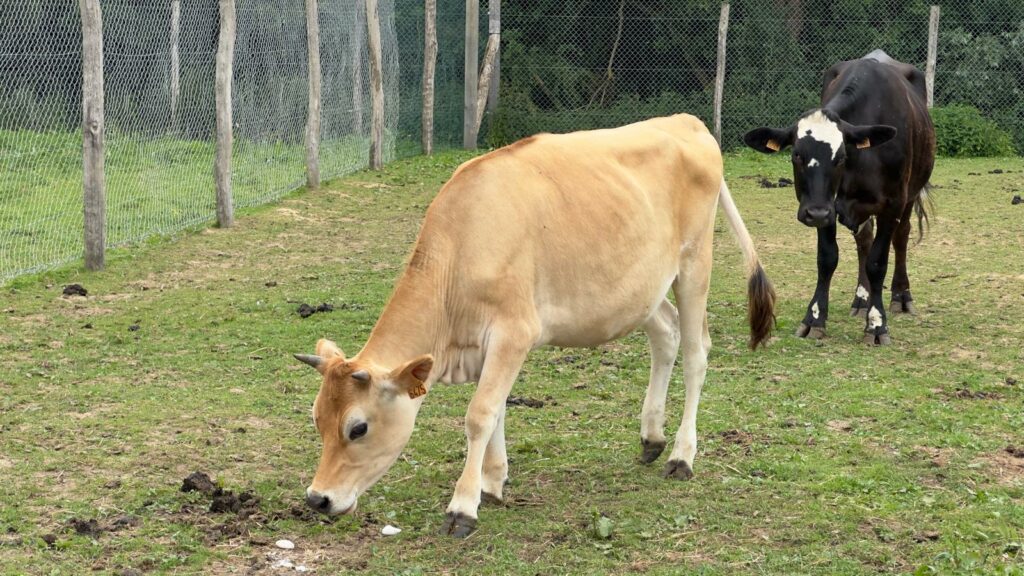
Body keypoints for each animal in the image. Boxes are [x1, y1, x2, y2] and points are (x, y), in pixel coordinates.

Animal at [293, 114, 775, 537]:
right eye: (317, 418)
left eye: (358, 427)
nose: (318, 499)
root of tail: (687, 121)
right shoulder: (488, 346)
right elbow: (497, 409)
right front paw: (493, 481)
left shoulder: (513, 332)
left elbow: (480, 414)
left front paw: (463, 506)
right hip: (638, 290)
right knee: (666, 336)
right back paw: (651, 437)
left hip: (695, 265)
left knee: (696, 353)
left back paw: (681, 455)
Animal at [742, 49, 935, 345]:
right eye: (796, 154)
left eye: (841, 156)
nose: (815, 213)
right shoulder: (828, 206)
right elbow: (827, 258)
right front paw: (814, 318)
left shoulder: (892, 203)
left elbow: (878, 262)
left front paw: (876, 325)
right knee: (864, 241)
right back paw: (861, 299)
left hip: (910, 195)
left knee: (901, 237)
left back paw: (901, 295)